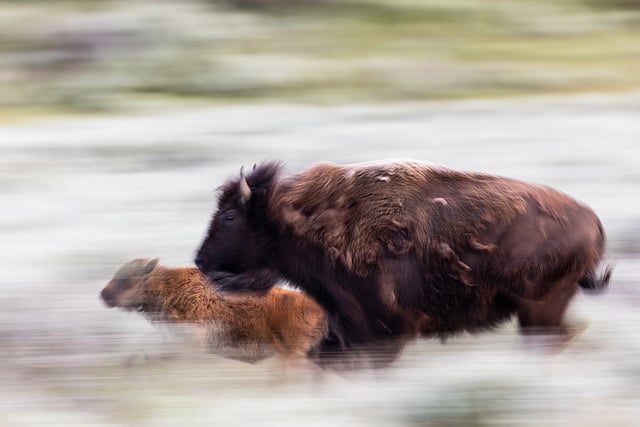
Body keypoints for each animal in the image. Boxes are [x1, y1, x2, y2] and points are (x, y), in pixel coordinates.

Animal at [195, 160, 608, 354]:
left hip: (540, 310)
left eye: (230, 216)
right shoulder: (344, 328)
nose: (200, 261)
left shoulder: (379, 331)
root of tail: (592, 221)